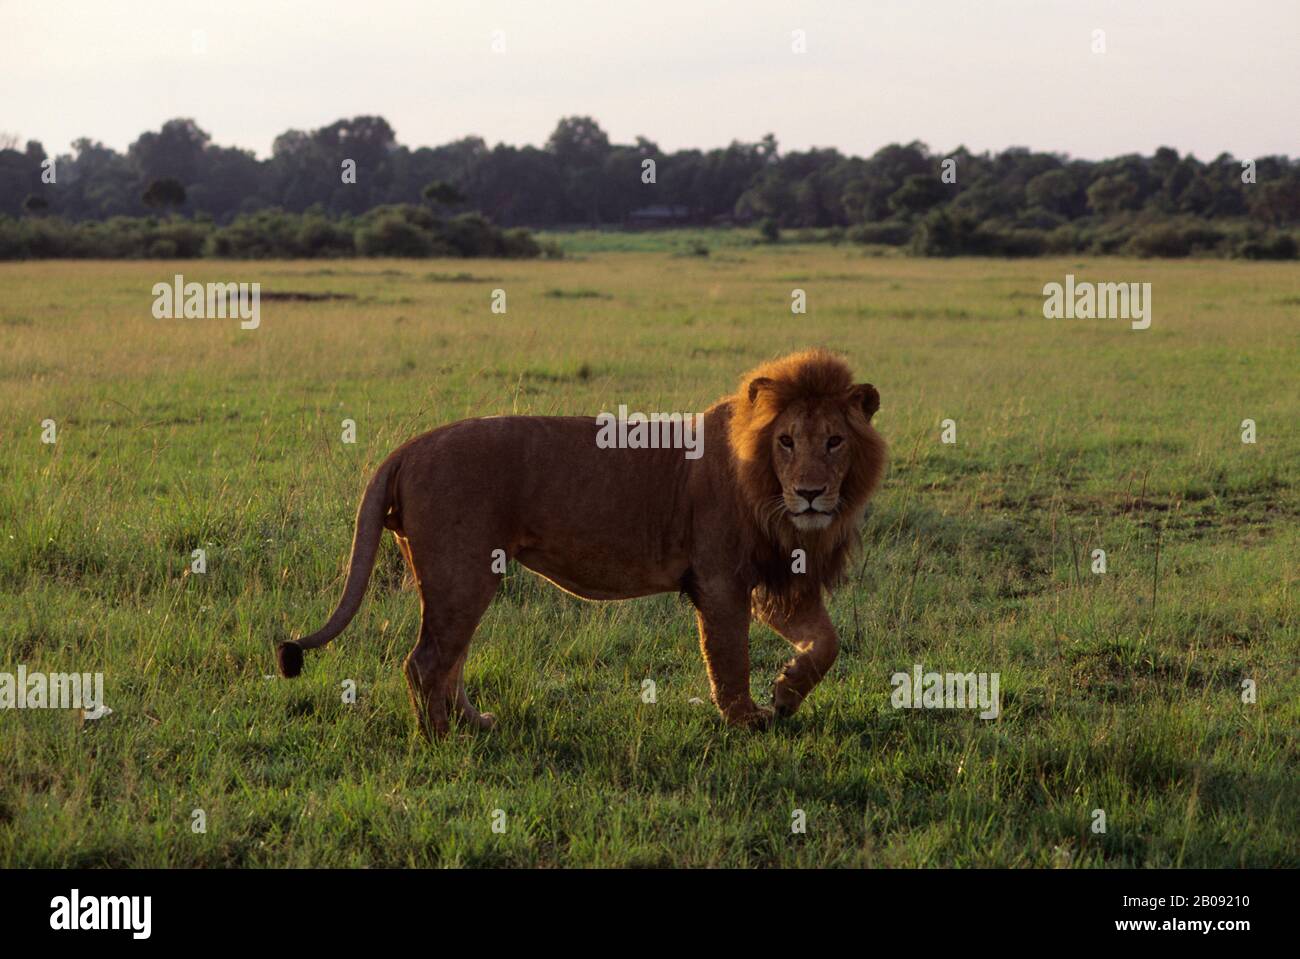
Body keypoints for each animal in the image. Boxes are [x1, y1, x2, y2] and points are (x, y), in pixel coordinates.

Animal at [277, 349, 886, 737]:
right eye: (786, 441)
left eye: (834, 442)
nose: (810, 494)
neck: (769, 495)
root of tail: (410, 446)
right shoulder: (720, 580)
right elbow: (729, 656)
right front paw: (746, 721)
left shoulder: (775, 579)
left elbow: (826, 643)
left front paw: (785, 693)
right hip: (462, 571)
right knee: (425, 661)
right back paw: (443, 740)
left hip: (462, 576)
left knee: (450, 658)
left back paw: (475, 724)